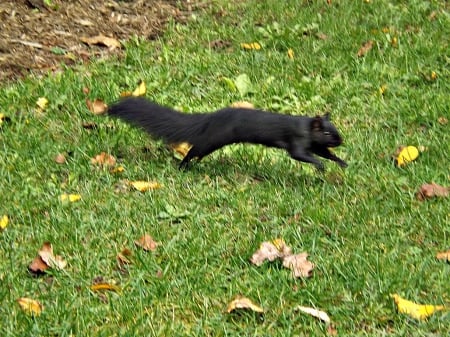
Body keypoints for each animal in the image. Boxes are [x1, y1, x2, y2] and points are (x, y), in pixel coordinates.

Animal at [108, 96, 348, 171]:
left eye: (336, 129)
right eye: (328, 132)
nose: (341, 139)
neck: (304, 127)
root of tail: (210, 117)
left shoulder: (313, 144)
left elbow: (325, 153)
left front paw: (341, 162)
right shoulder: (297, 141)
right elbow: (300, 154)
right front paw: (319, 166)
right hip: (213, 139)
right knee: (193, 148)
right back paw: (183, 166)